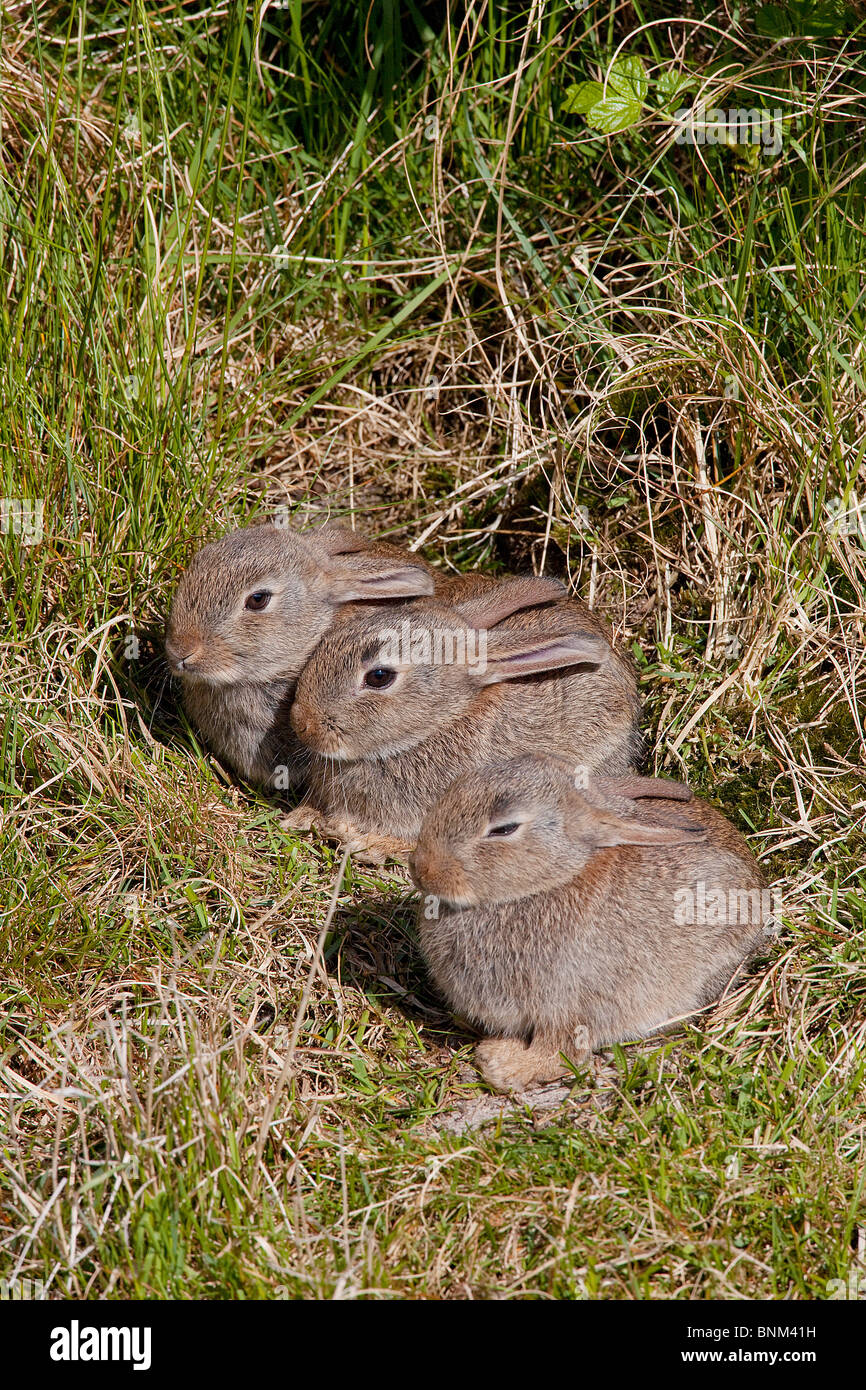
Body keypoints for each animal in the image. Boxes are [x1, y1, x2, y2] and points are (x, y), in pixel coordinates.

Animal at [409, 756, 771, 1092]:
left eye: (504, 829)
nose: (421, 869)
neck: (549, 881)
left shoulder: (568, 1004)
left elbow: (557, 1052)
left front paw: (504, 1066)